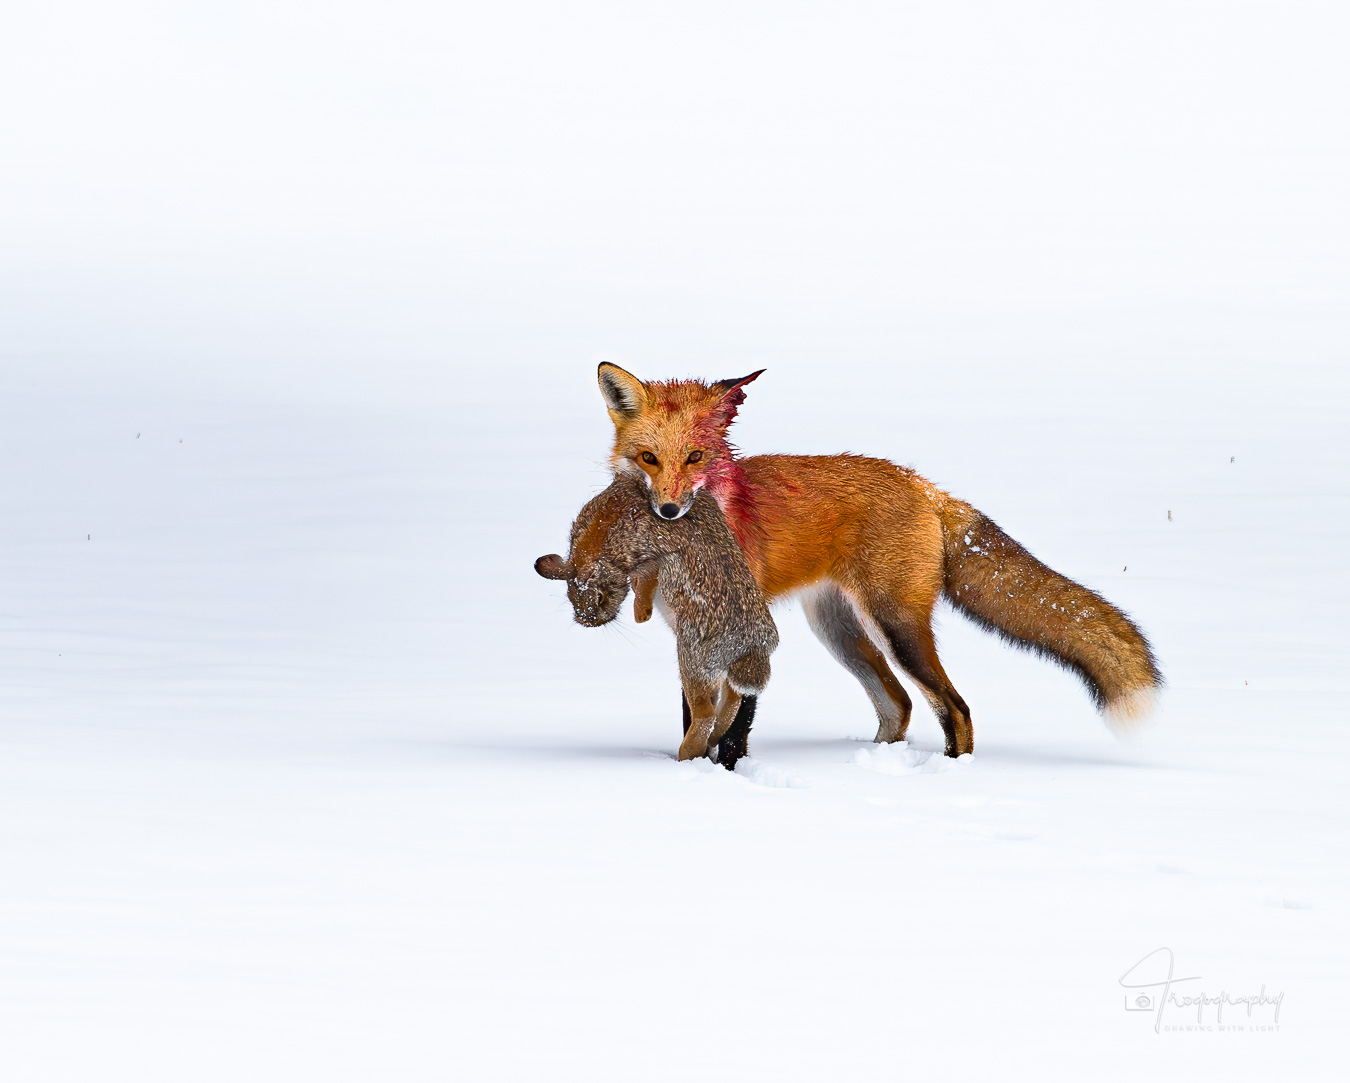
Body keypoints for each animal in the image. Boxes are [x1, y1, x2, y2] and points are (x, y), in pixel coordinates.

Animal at [535, 473, 778, 766]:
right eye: (570, 598)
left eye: (599, 597)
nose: (588, 620)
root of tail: (751, 649)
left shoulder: (645, 557)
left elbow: (646, 581)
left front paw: (641, 614)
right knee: (731, 704)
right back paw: (711, 742)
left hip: (692, 661)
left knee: (705, 713)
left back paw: (687, 754)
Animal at [596, 362, 1162, 758]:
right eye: (649, 458)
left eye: (695, 457)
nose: (669, 511)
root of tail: (923, 485)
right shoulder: (690, 637)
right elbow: (696, 721)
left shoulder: (742, 633)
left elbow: (731, 729)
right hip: (840, 631)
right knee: (900, 705)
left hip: (896, 625)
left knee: (954, 708)